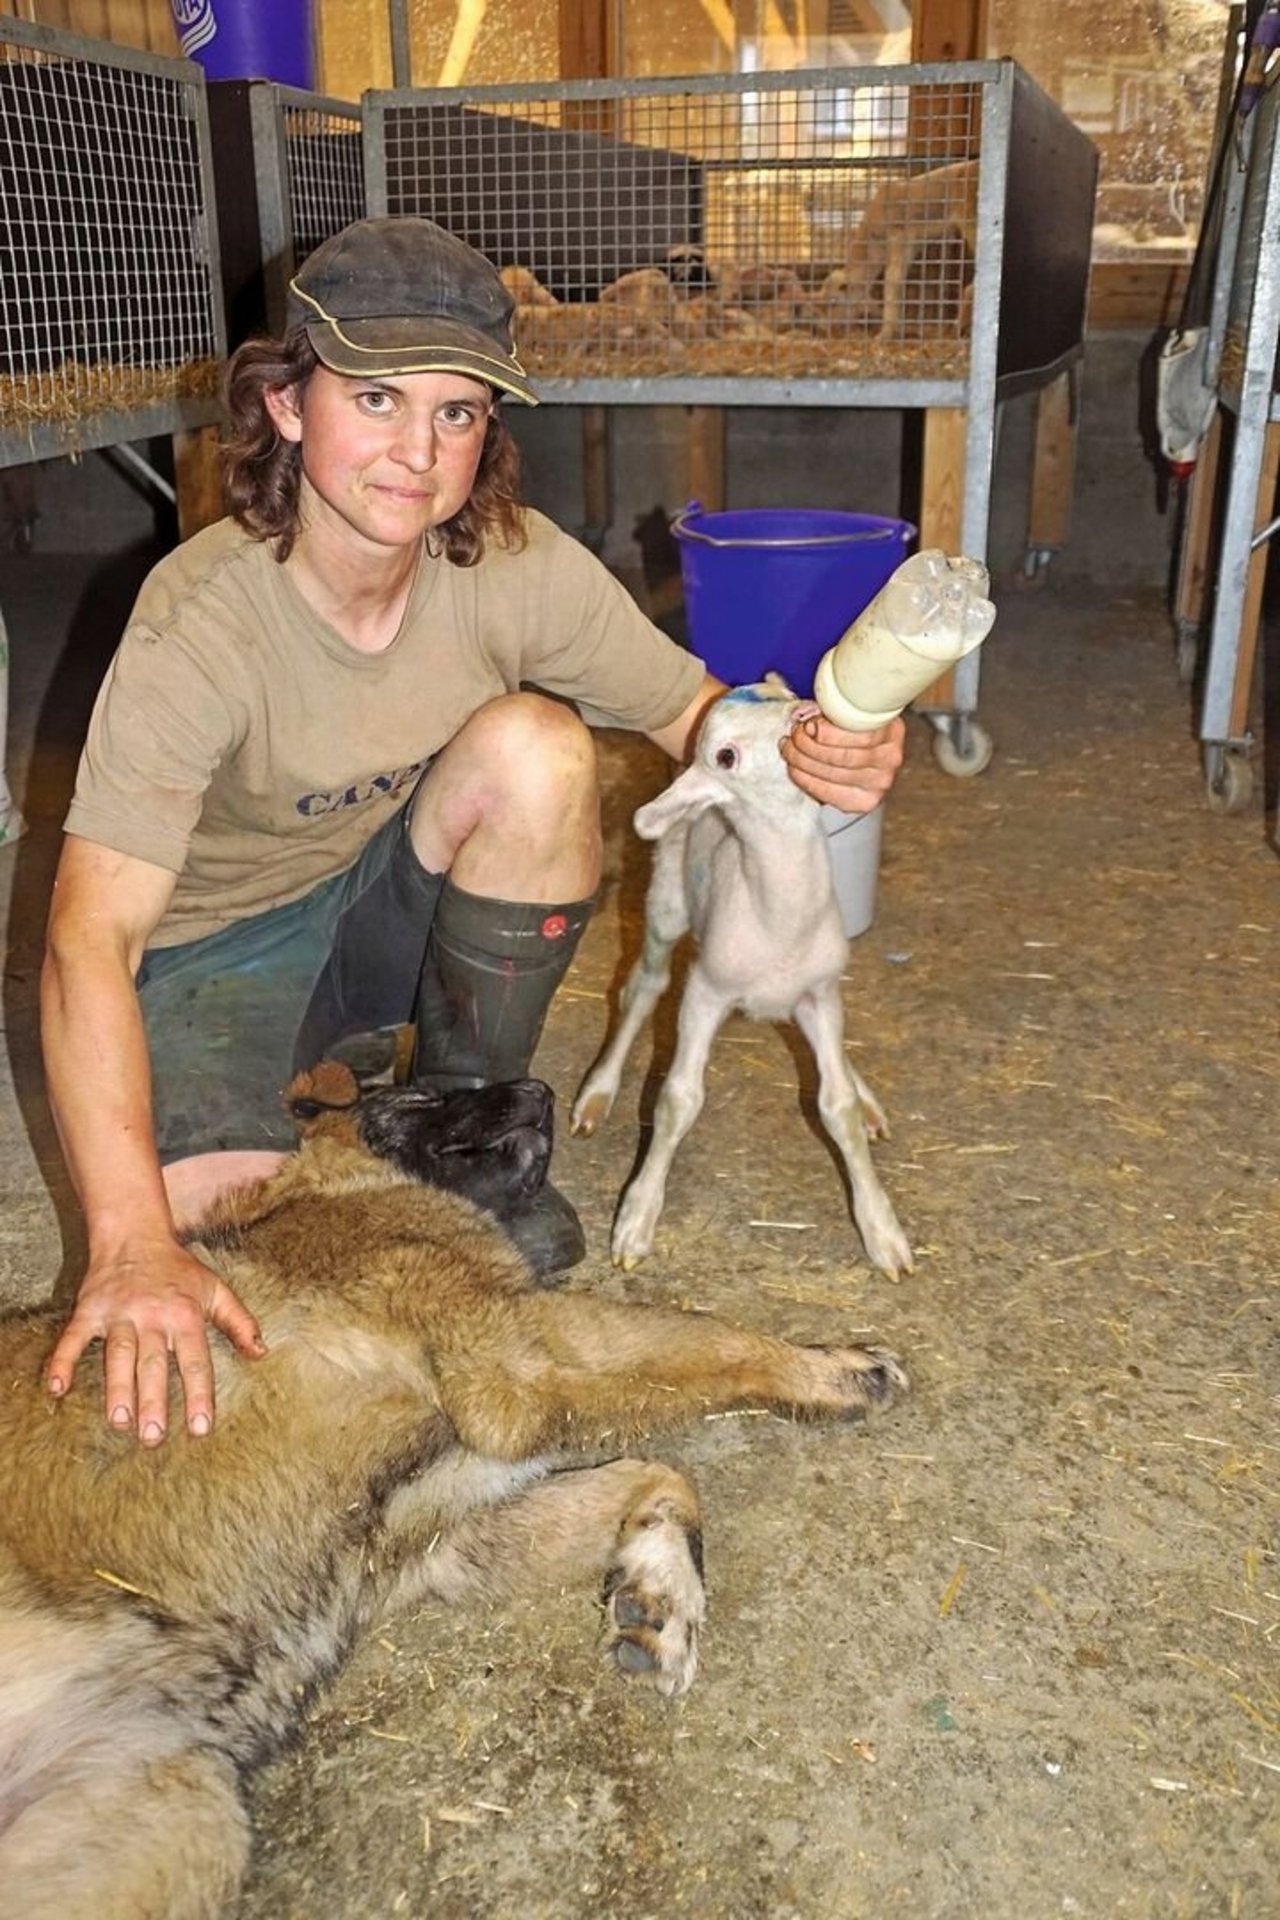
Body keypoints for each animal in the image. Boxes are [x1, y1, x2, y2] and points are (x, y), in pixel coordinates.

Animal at [575, 675, 917, 1274]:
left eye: (782, 694)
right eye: (726, 756)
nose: (804, 713)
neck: (778, 919)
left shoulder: (819, 994)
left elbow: (838, 1108)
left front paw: (882, 1232)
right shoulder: (705, 993)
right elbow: (678, 1099)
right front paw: (637, 1218)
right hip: (665, 904)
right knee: (641, 988)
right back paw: (598, 1090)